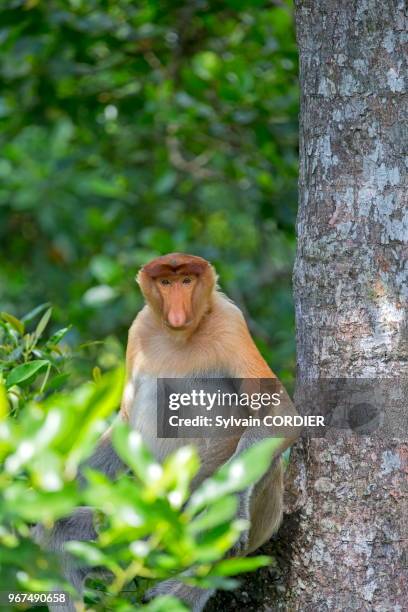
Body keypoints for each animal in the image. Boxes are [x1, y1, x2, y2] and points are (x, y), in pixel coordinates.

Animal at [37, 253, 300, 612]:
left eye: (187, 281)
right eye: (166, 283)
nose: (178, 312)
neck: (180, 337)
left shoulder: (230, 324)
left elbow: (279, 412)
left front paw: (229, 506)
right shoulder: (139, 328)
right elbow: (125, 422)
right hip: (133, 525)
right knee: (56, 537)